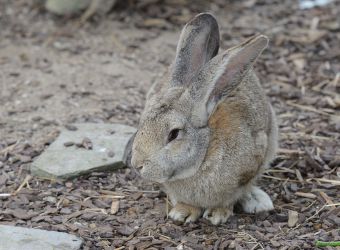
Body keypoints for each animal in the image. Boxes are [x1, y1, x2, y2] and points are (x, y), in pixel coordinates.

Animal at [129, 12, 276, 226]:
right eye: (142, 124)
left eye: (174, 134)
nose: (137, 165)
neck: (206, 150)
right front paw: (182, 213)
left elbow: (230, 197)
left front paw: (218, 214)